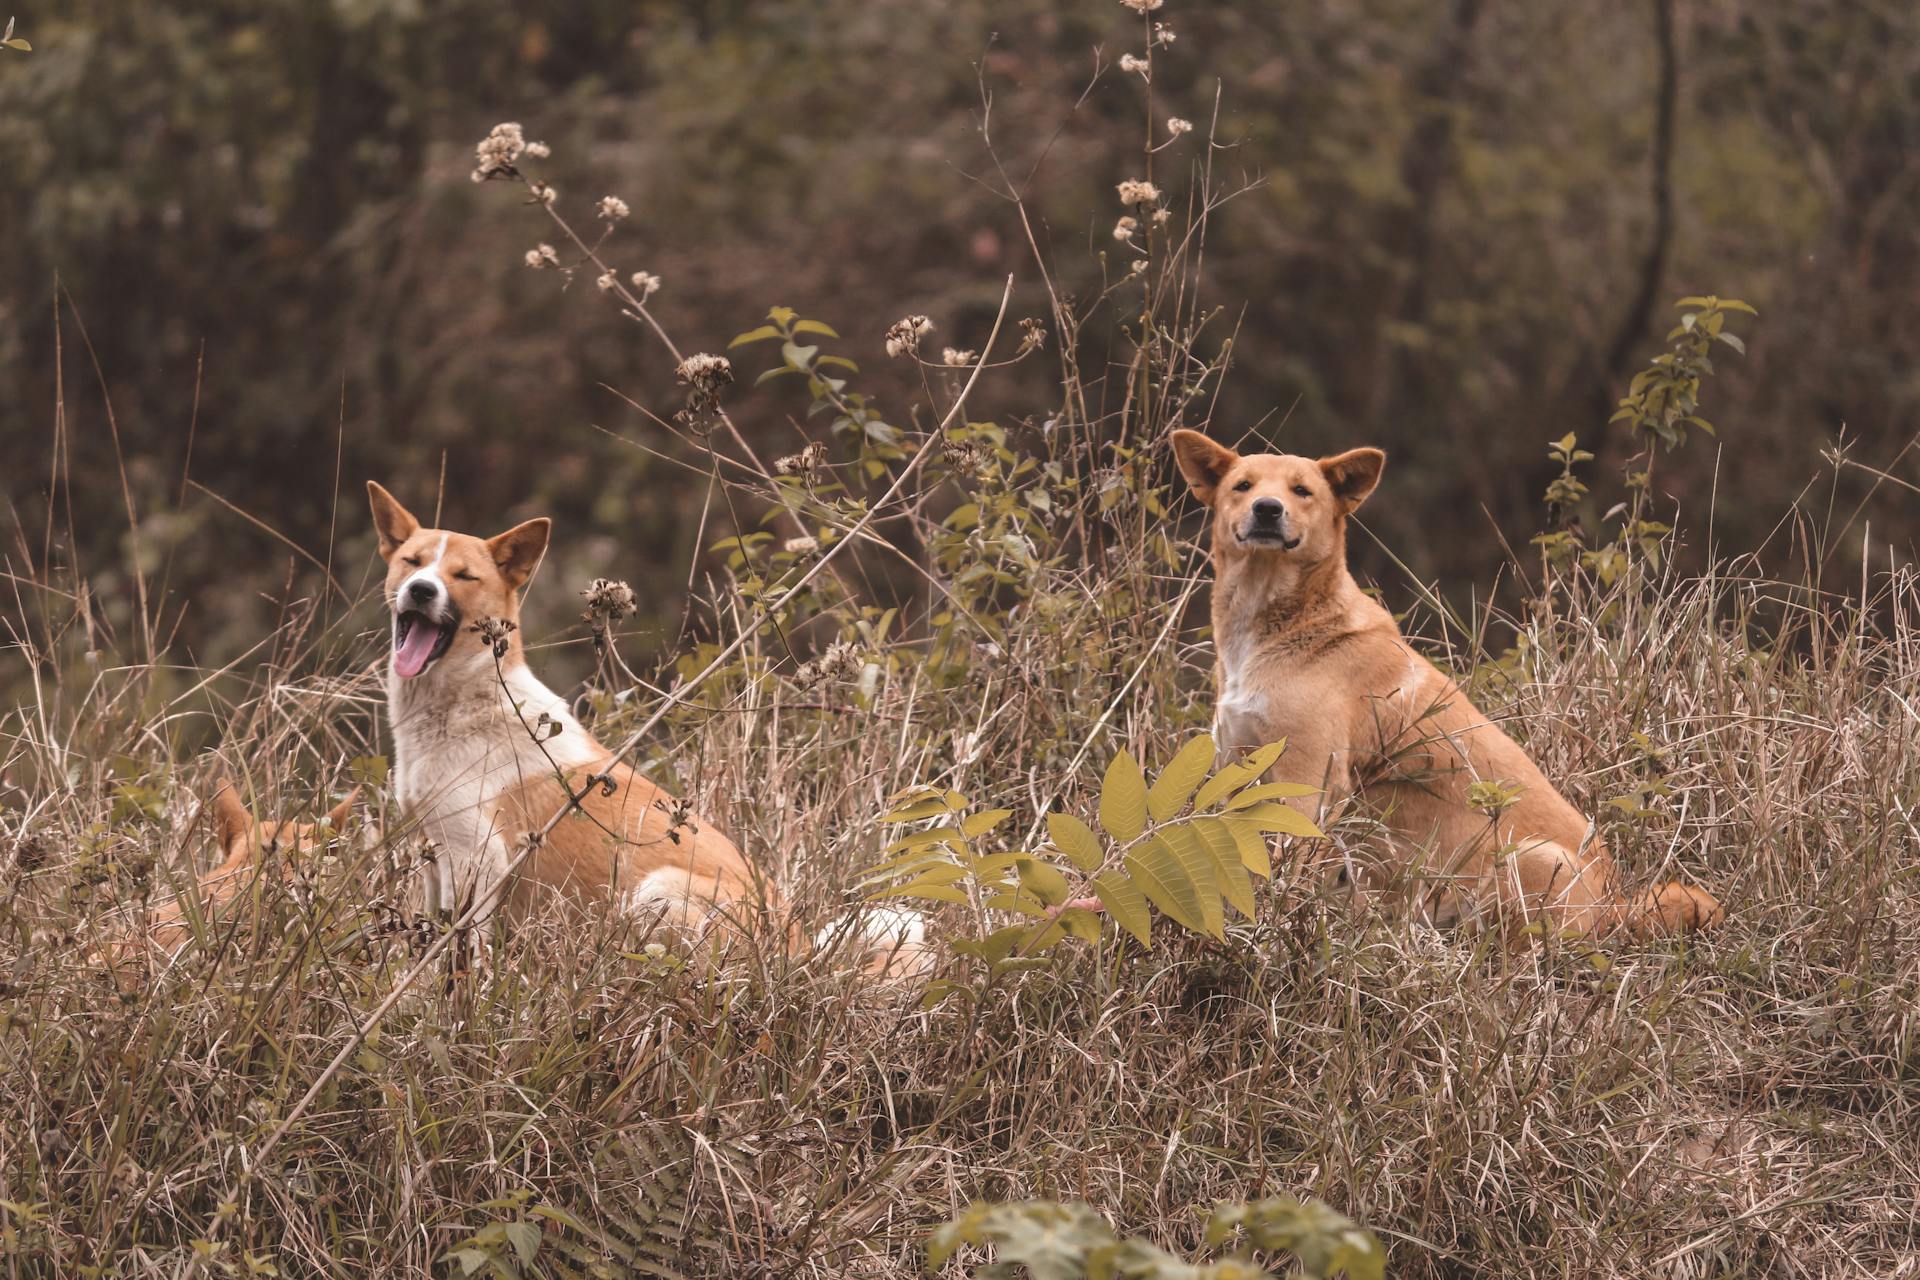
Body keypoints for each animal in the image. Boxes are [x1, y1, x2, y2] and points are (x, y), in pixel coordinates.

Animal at [1167, 429, 1728, 940]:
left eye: (1302, 491)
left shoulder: (1309, 779)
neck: (1275, 627)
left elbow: (1282, 860)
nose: (1267, 509)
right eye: (1242, 486)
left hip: (1526, 860)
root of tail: (1617, 906)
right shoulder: (1236, 761)